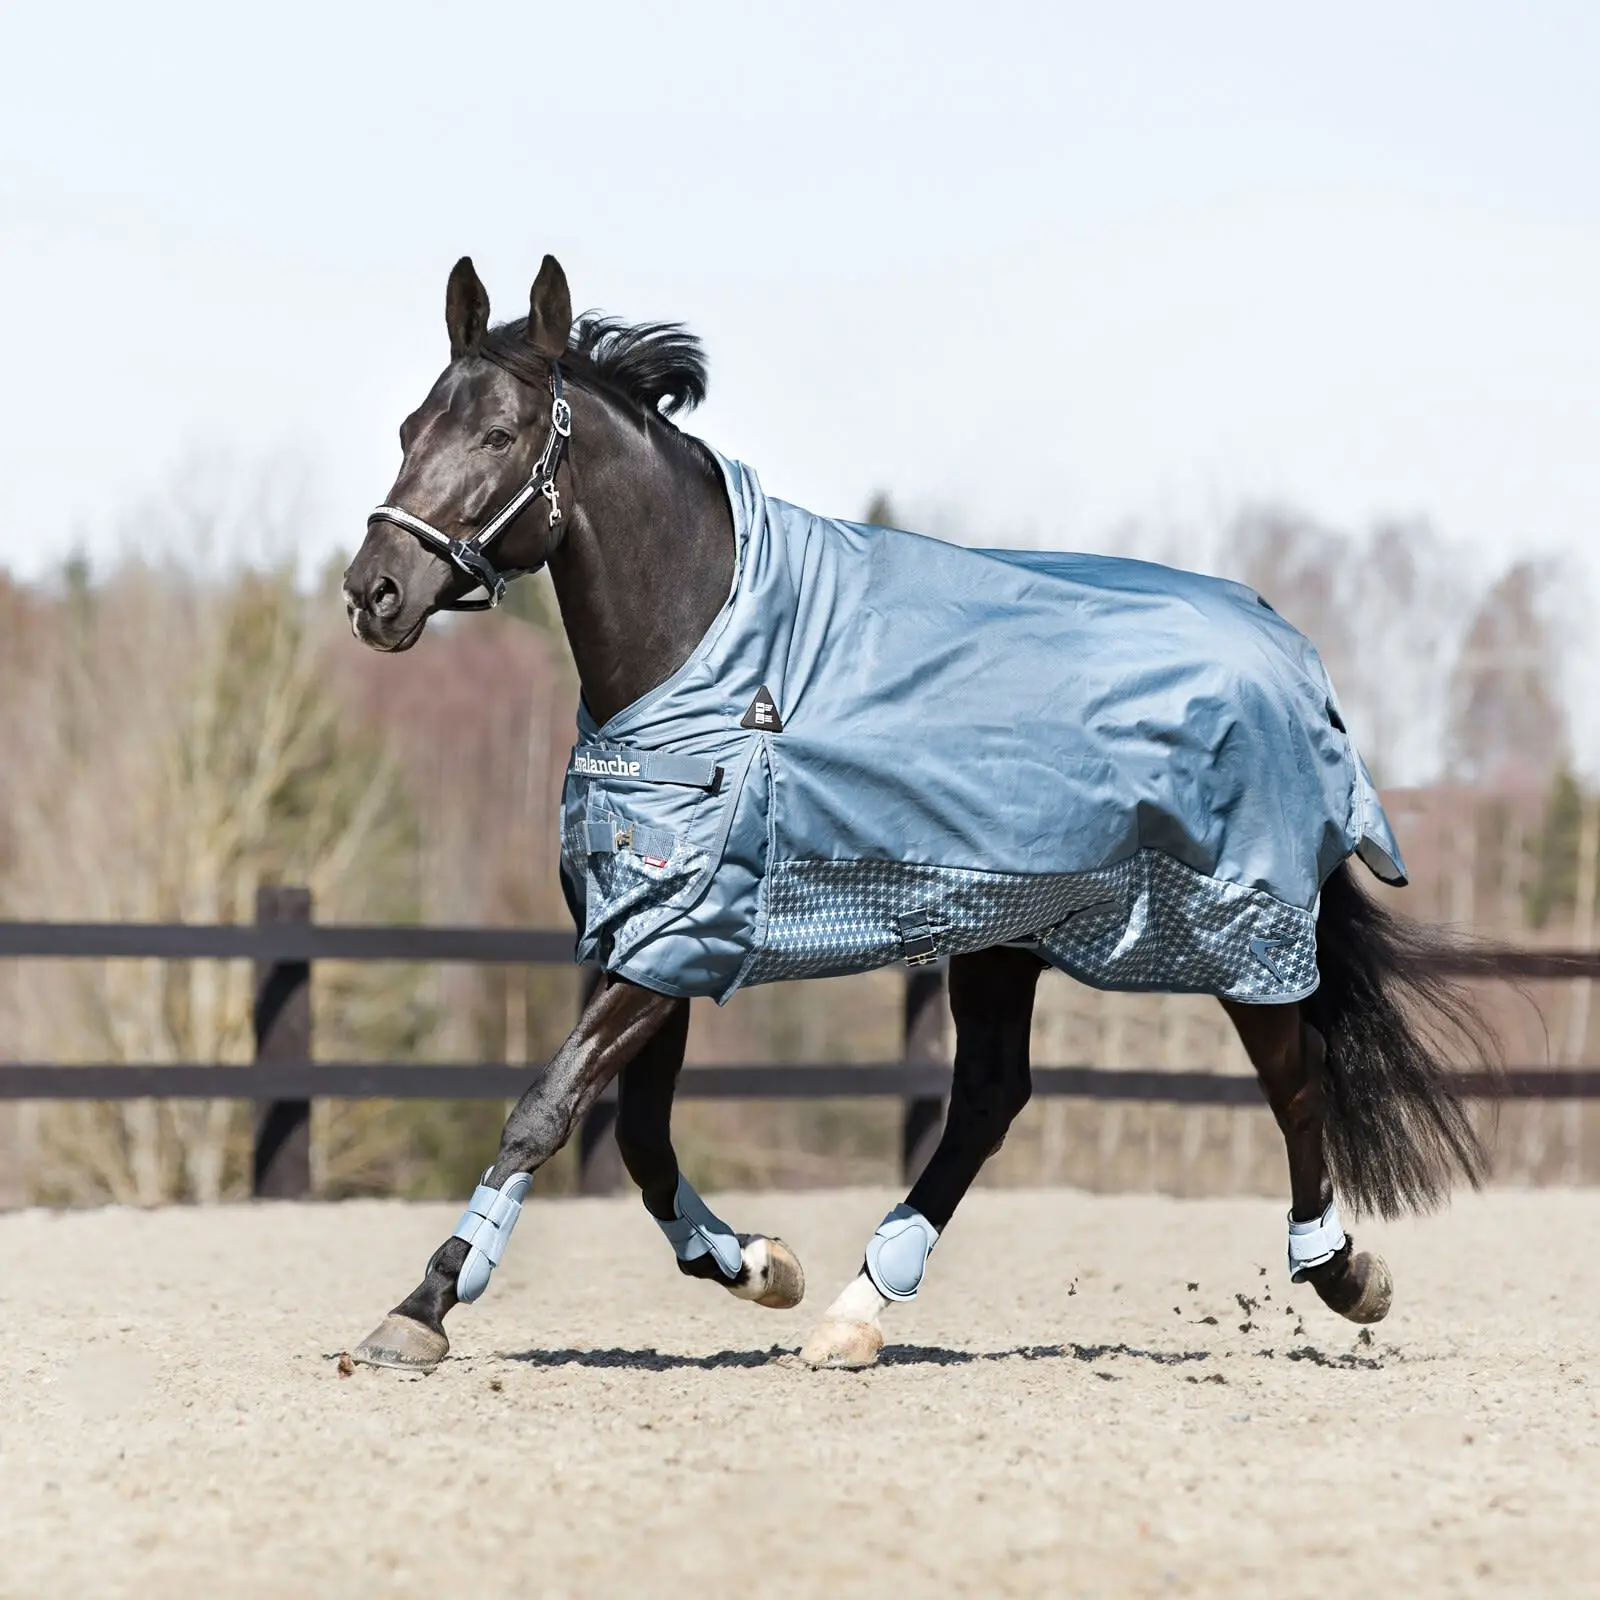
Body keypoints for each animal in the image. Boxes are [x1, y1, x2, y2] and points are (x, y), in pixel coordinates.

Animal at [341, 254, 1486, 1372]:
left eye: (498, 435)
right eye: (406, 429)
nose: (374, 591)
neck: (715, 652)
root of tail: (1291, 657)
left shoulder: (682, 931)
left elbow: (547, 1109)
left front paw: (422, 1305)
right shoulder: (650, 934)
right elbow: (637, 1135)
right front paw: (758, 1265)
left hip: (1236, 921)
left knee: (1291, 1076)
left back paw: (1342, 1273)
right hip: (1009, 931)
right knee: (988, 1098)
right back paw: (855, 1309)